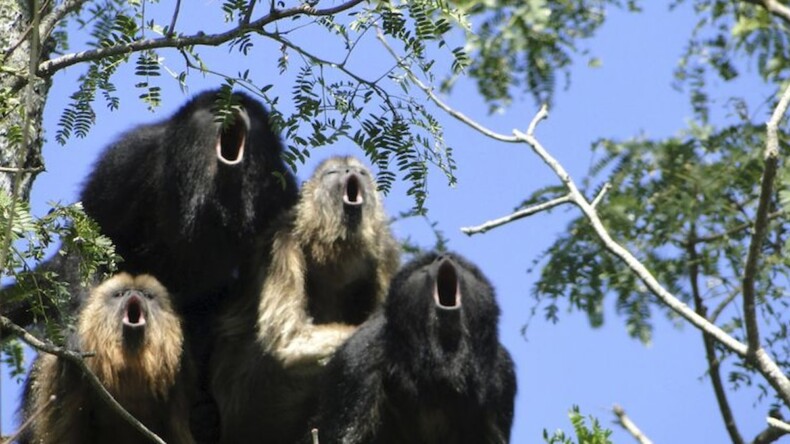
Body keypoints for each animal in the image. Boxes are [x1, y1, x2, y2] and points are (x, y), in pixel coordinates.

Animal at [212, 155, 402, 444]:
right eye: (333, 173)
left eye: (361, 173)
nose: (350, 171)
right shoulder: (282, 240)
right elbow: (287, 338)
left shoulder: (386, 253)